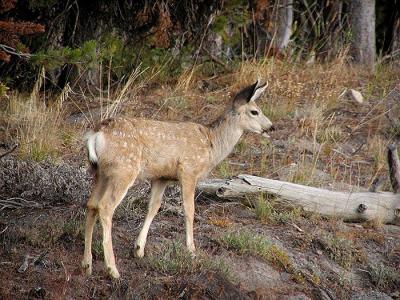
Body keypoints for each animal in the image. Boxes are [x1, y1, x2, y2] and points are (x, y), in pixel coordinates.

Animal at [81, 78, 276, 278]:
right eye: (254, 111)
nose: (271, 127)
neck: (212, 144)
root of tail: (96, 134)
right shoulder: (189, 170)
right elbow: (189, 210)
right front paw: (191, 250)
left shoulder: (162, 177)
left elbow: (153, 207)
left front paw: (139, 249)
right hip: (124, 169)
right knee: (105, 206)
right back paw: (113, 270)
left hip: (100, 172)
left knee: (91, 205)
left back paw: (87, 265)